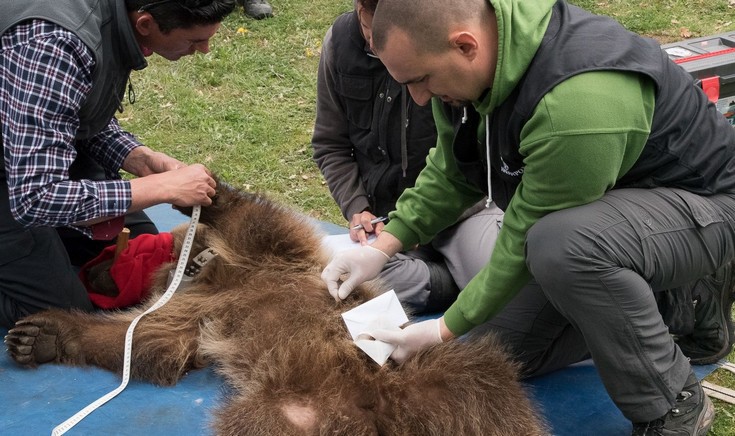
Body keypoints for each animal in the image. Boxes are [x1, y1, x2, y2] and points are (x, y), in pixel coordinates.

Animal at [4, 179, 548, 434]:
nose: (193, 262)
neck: (221, 275)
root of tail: (380, 414)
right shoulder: (195, 312)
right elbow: (146, 339)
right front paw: (39, 336)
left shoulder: (274, 257)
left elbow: (257, 222)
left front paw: (202, 191)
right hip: (286, 416)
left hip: (434, 378)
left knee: (483, 384)